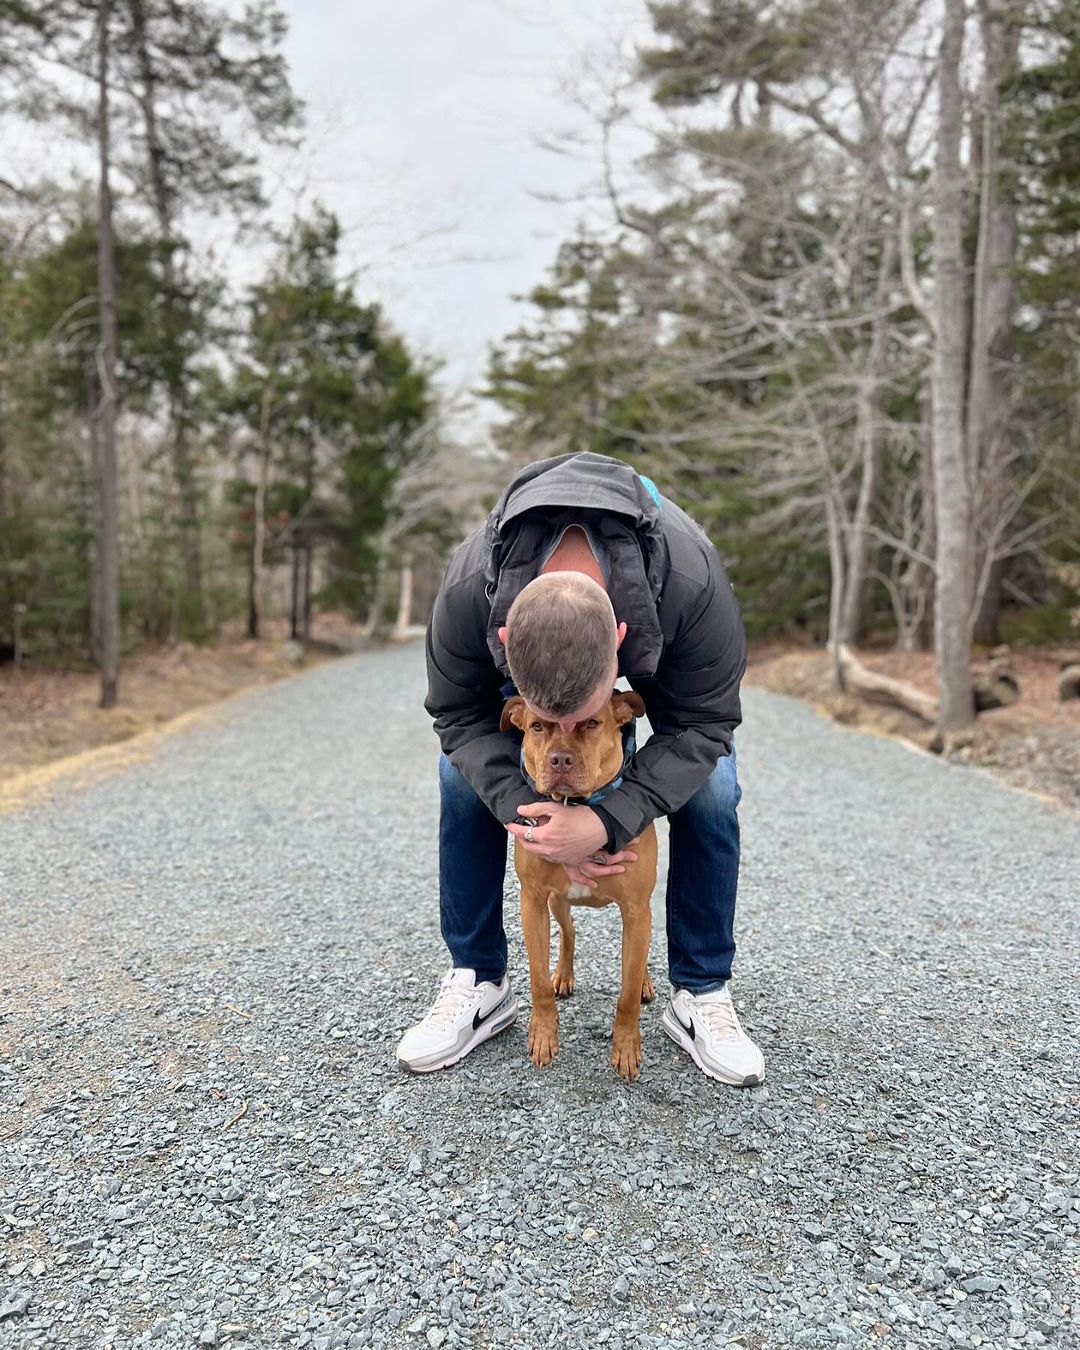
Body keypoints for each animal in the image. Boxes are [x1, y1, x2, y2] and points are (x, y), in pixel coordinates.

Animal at [499, 691, 658, 1080]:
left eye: (592, 723)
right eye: (536, 726)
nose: (560, 759)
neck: (575, 808)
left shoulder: (636, 910)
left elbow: (627, 992)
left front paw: (626, 1046)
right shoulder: (532, 902)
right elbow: (538, 980)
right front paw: (543, 1034)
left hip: (644, 913)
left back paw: (645, 981)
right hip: (557, 902)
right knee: (568, 933)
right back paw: (563, 975)